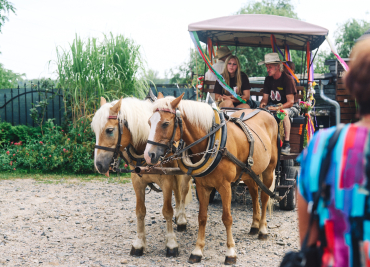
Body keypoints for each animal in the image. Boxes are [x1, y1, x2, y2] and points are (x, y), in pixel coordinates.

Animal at [91, 97, 192, 258]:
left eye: (109, 130)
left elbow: (167, 211)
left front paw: (171, 243)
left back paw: (181, 219)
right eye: (94, 131)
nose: (99, 164)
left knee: (182, 192)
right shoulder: (137, 181)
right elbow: (140, 212)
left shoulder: (166, 181)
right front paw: (139, 243)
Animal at [145, 94, 278, 266]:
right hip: (249, 172)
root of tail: (266, 113)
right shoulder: (203, 186)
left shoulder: (225, 186)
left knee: (265, 196)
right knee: (255, 193)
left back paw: (262, 229)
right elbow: (202, 217)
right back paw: (255, 225)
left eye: (165, 123)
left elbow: (227, 218)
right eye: (149, 122)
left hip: (269, 170)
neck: (214, 143)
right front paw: (197, 251)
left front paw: (230, 252)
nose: (149, 155)